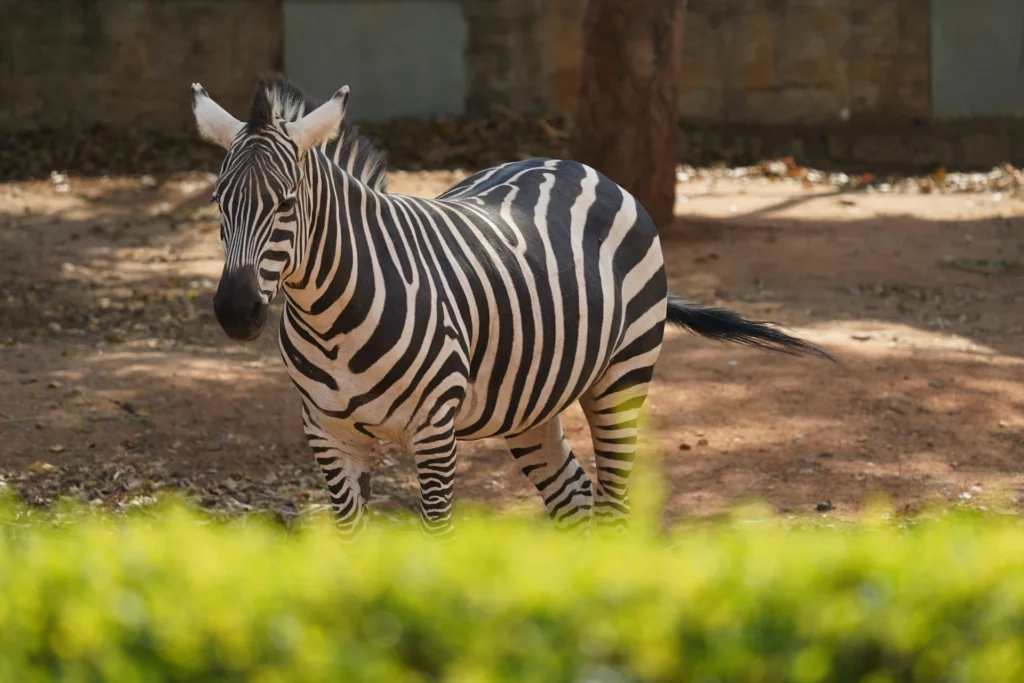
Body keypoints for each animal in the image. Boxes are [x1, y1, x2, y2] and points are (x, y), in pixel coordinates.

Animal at [192, 73, 831, 532]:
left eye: (286, 203)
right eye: (218, 201)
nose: (235, 311)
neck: (332, 322)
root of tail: (579, 166)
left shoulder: (435, 432)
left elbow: (437, 537)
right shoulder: (328, 437)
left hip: (622, 379)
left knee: (614, 507)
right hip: (532, 402)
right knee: (575, 501)